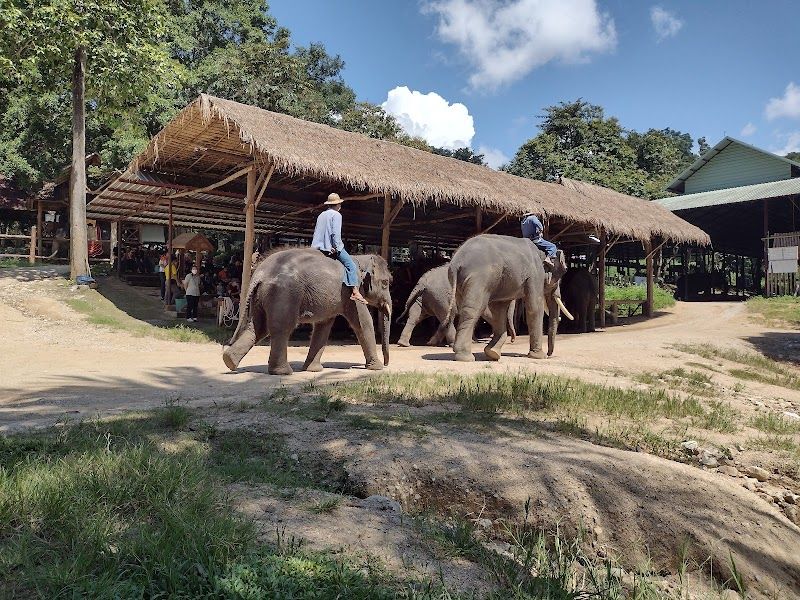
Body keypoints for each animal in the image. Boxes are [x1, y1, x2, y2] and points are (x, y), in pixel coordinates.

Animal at [222, 248, 392, 375]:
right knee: (282, 328)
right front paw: (376, 368)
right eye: (385, 283)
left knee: (257, 328)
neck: (360, 258)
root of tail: (259, 273)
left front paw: (313, 370)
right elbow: (363, 322)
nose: (386, 364)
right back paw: (283, 372)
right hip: (283, 294)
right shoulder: (351, 291)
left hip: (262, 297)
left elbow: (323, 326)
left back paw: (229, 360)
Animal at [438, 234, 571, 362]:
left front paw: (493, 353)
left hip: (460, 283)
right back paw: (465, 357)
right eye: (564, 272)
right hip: (479, 277)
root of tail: (456, 261)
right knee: (473, 309)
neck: (541, 252)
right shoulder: (535, 274)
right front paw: (539, 356)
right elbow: (534, 308)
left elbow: (499, 311)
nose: (549, 354)